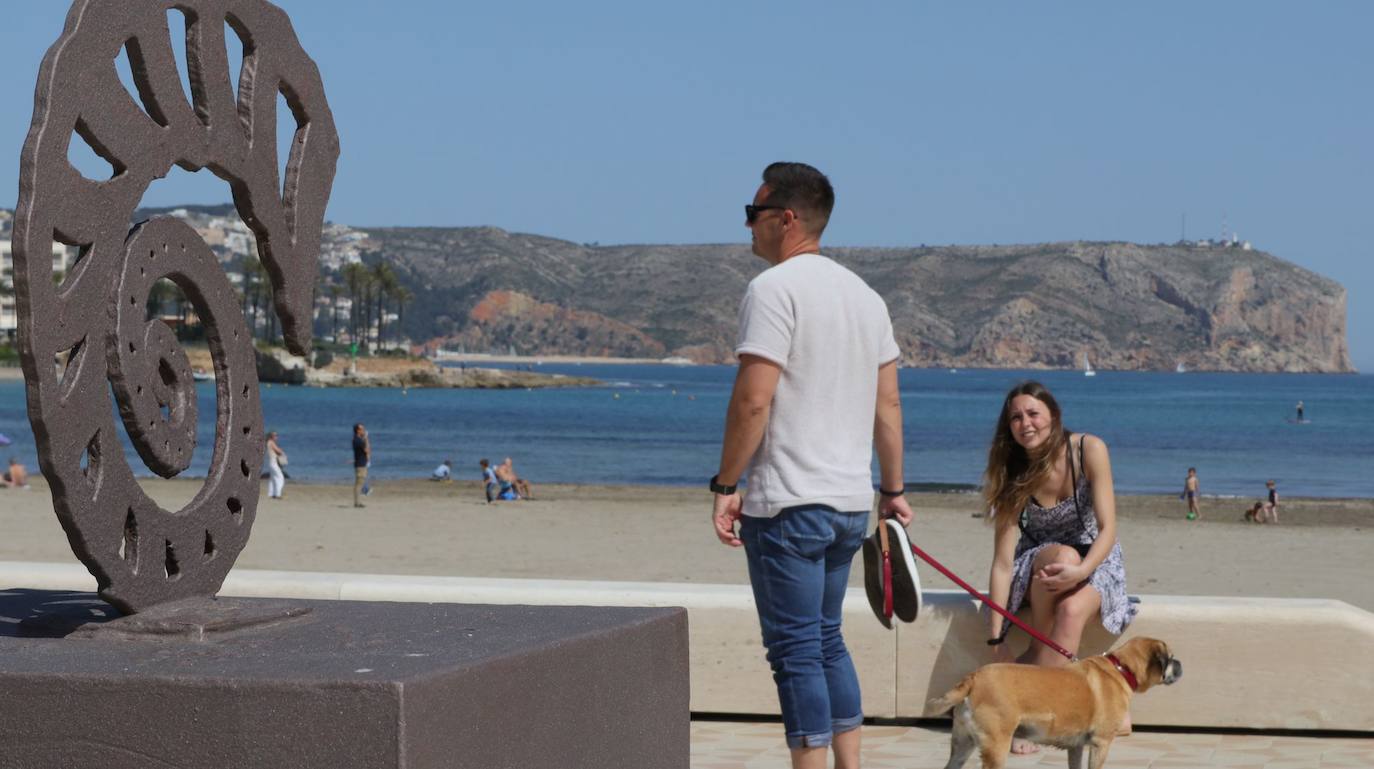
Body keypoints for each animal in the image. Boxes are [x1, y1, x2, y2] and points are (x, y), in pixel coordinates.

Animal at [934, 637, 1181, 769]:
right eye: (1170, 658)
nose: (1180, 664)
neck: (1121, 668)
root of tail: (973, 678)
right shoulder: (1100, 744)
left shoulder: (1076, 746)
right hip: (996, 746)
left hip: (963, 744)